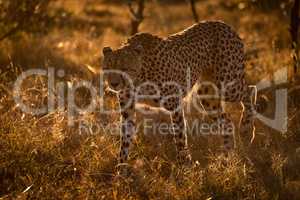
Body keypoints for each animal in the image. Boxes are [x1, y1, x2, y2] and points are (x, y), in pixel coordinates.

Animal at [102, 21, 254, 166]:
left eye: (125, 68)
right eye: (108, 68)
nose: (114, 84)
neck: (138, 78)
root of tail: (224, 24)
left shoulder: (175, 104)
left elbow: (180, 137)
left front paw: (185, 166)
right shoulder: (127, 111)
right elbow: (125, 142)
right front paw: (121, 169)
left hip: (228, 84)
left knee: (250, 90)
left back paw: (246, 129)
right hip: (206, 94)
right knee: (226, 121)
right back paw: (227, 156)